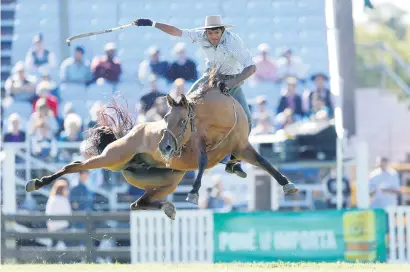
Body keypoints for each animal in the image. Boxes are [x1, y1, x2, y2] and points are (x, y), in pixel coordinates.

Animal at [26, 73, 298, 220]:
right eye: (165, 118)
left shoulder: (242, 148)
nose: (165, 148)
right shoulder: (198, 152)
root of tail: (128, 134)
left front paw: (288, 185)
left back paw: (167, 207)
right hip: (111, 159)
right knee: (75, 165)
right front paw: (195, 192)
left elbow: (266, 163)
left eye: (181, 120)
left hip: (166, 181)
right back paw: (37, 182)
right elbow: (201, 162)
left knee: (138, 204)